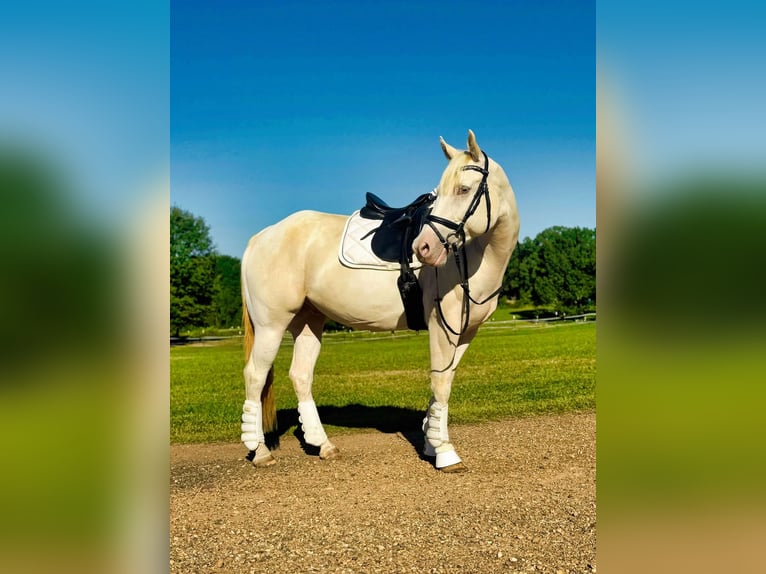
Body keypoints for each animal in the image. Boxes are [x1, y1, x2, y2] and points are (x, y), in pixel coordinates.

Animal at [240, 130, 519, 472]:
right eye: (440, 193)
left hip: (308, 322)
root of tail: (261, 237)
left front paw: (431, 441)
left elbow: (444, 380)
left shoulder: (466, 332)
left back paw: (323, 445)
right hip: (271, 326)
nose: (423, 248)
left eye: (463, 189)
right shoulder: (443, 327)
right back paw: (259, 450)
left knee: (301, 376)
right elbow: (441, 383)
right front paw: (444, 452)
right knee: (255, 375)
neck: (476, 254)